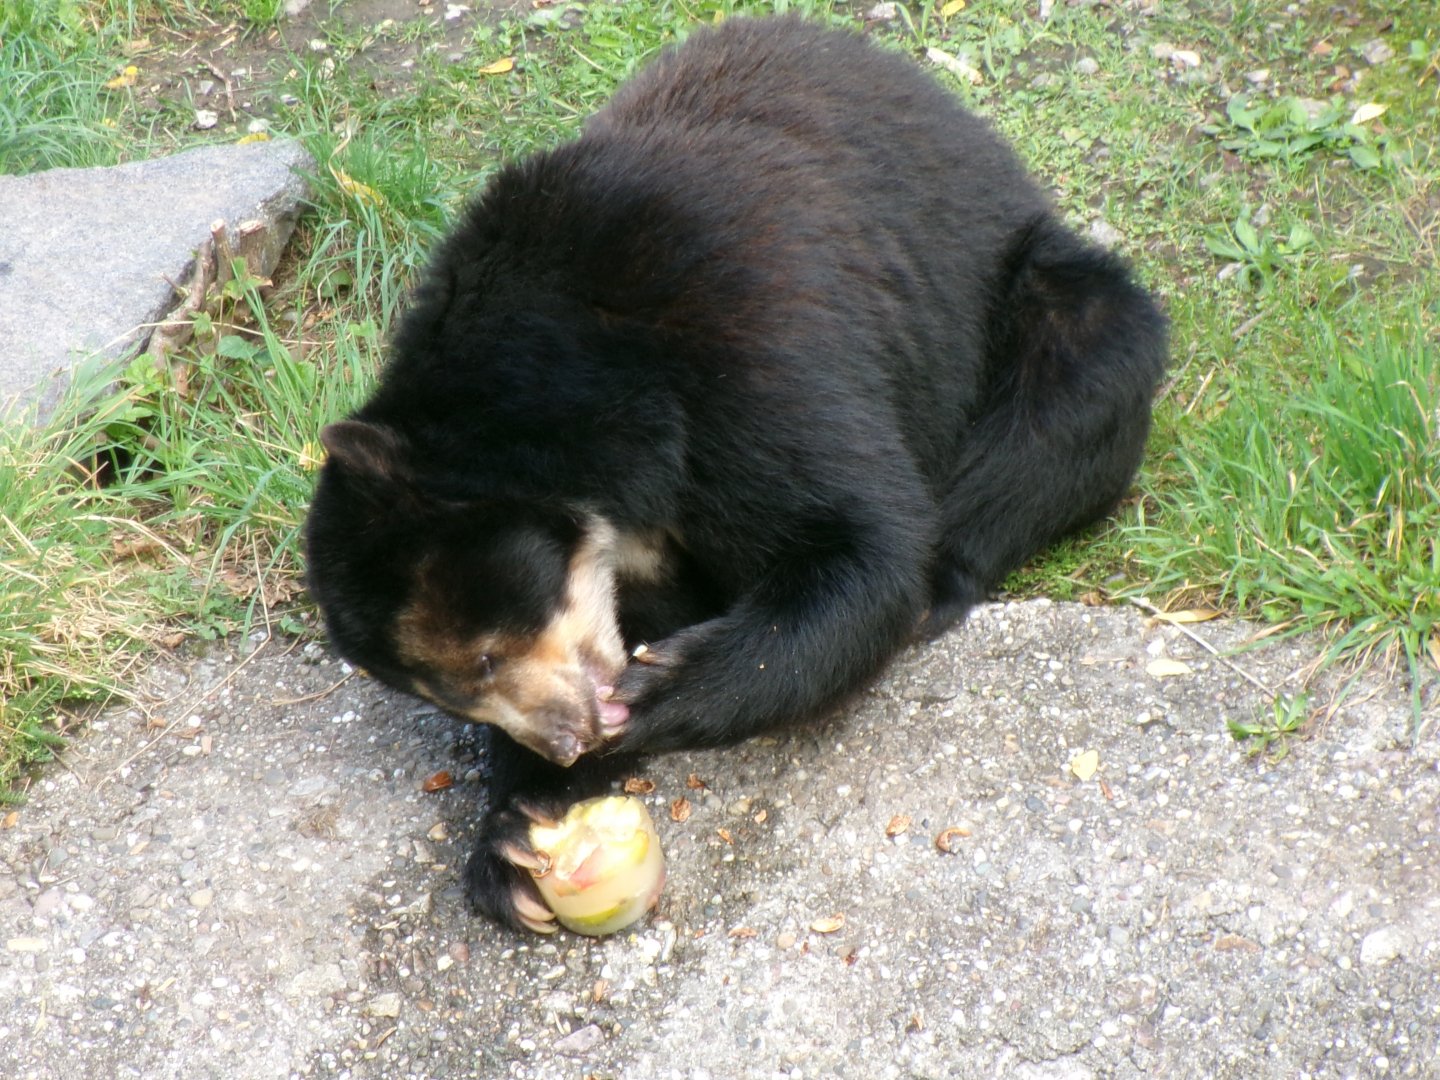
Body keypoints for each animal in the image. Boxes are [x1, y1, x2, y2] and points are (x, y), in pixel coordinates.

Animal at [303, 15, 1168, 933]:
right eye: (455, 690)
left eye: (487, 658)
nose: (569, 739)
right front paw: (516, 839)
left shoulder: (744, 345)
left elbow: (859, 543)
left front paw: (656, 690)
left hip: (1021, 299)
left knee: (1072, 382)